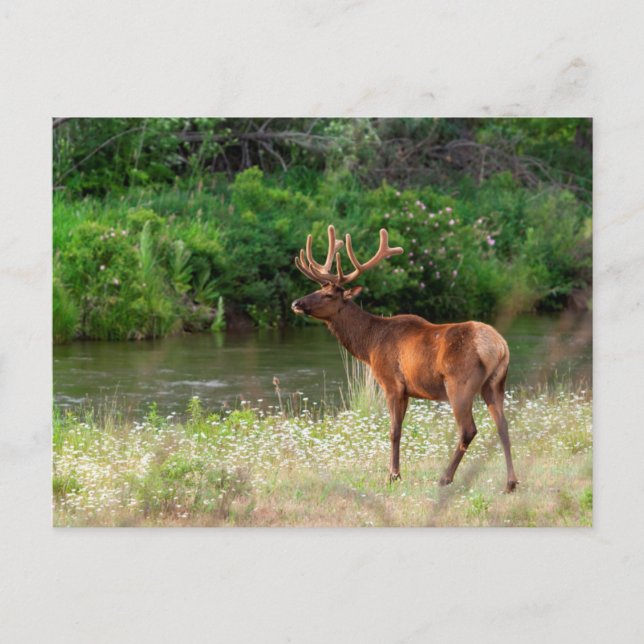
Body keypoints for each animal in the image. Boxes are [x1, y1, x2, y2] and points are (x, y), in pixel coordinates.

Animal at [291, 225, 518, 493]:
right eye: (317, 289)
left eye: (328, 295)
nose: (296, 303)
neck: (369, 345)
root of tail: (499, 346)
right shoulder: (408, 390)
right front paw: (395, 473)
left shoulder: (391, 383)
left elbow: (394, 431)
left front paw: (393, 475)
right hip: (495, 383)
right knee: (503, 426)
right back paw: (510, 483)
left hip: (459, 383)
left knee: (468, 429)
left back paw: (445, 478)